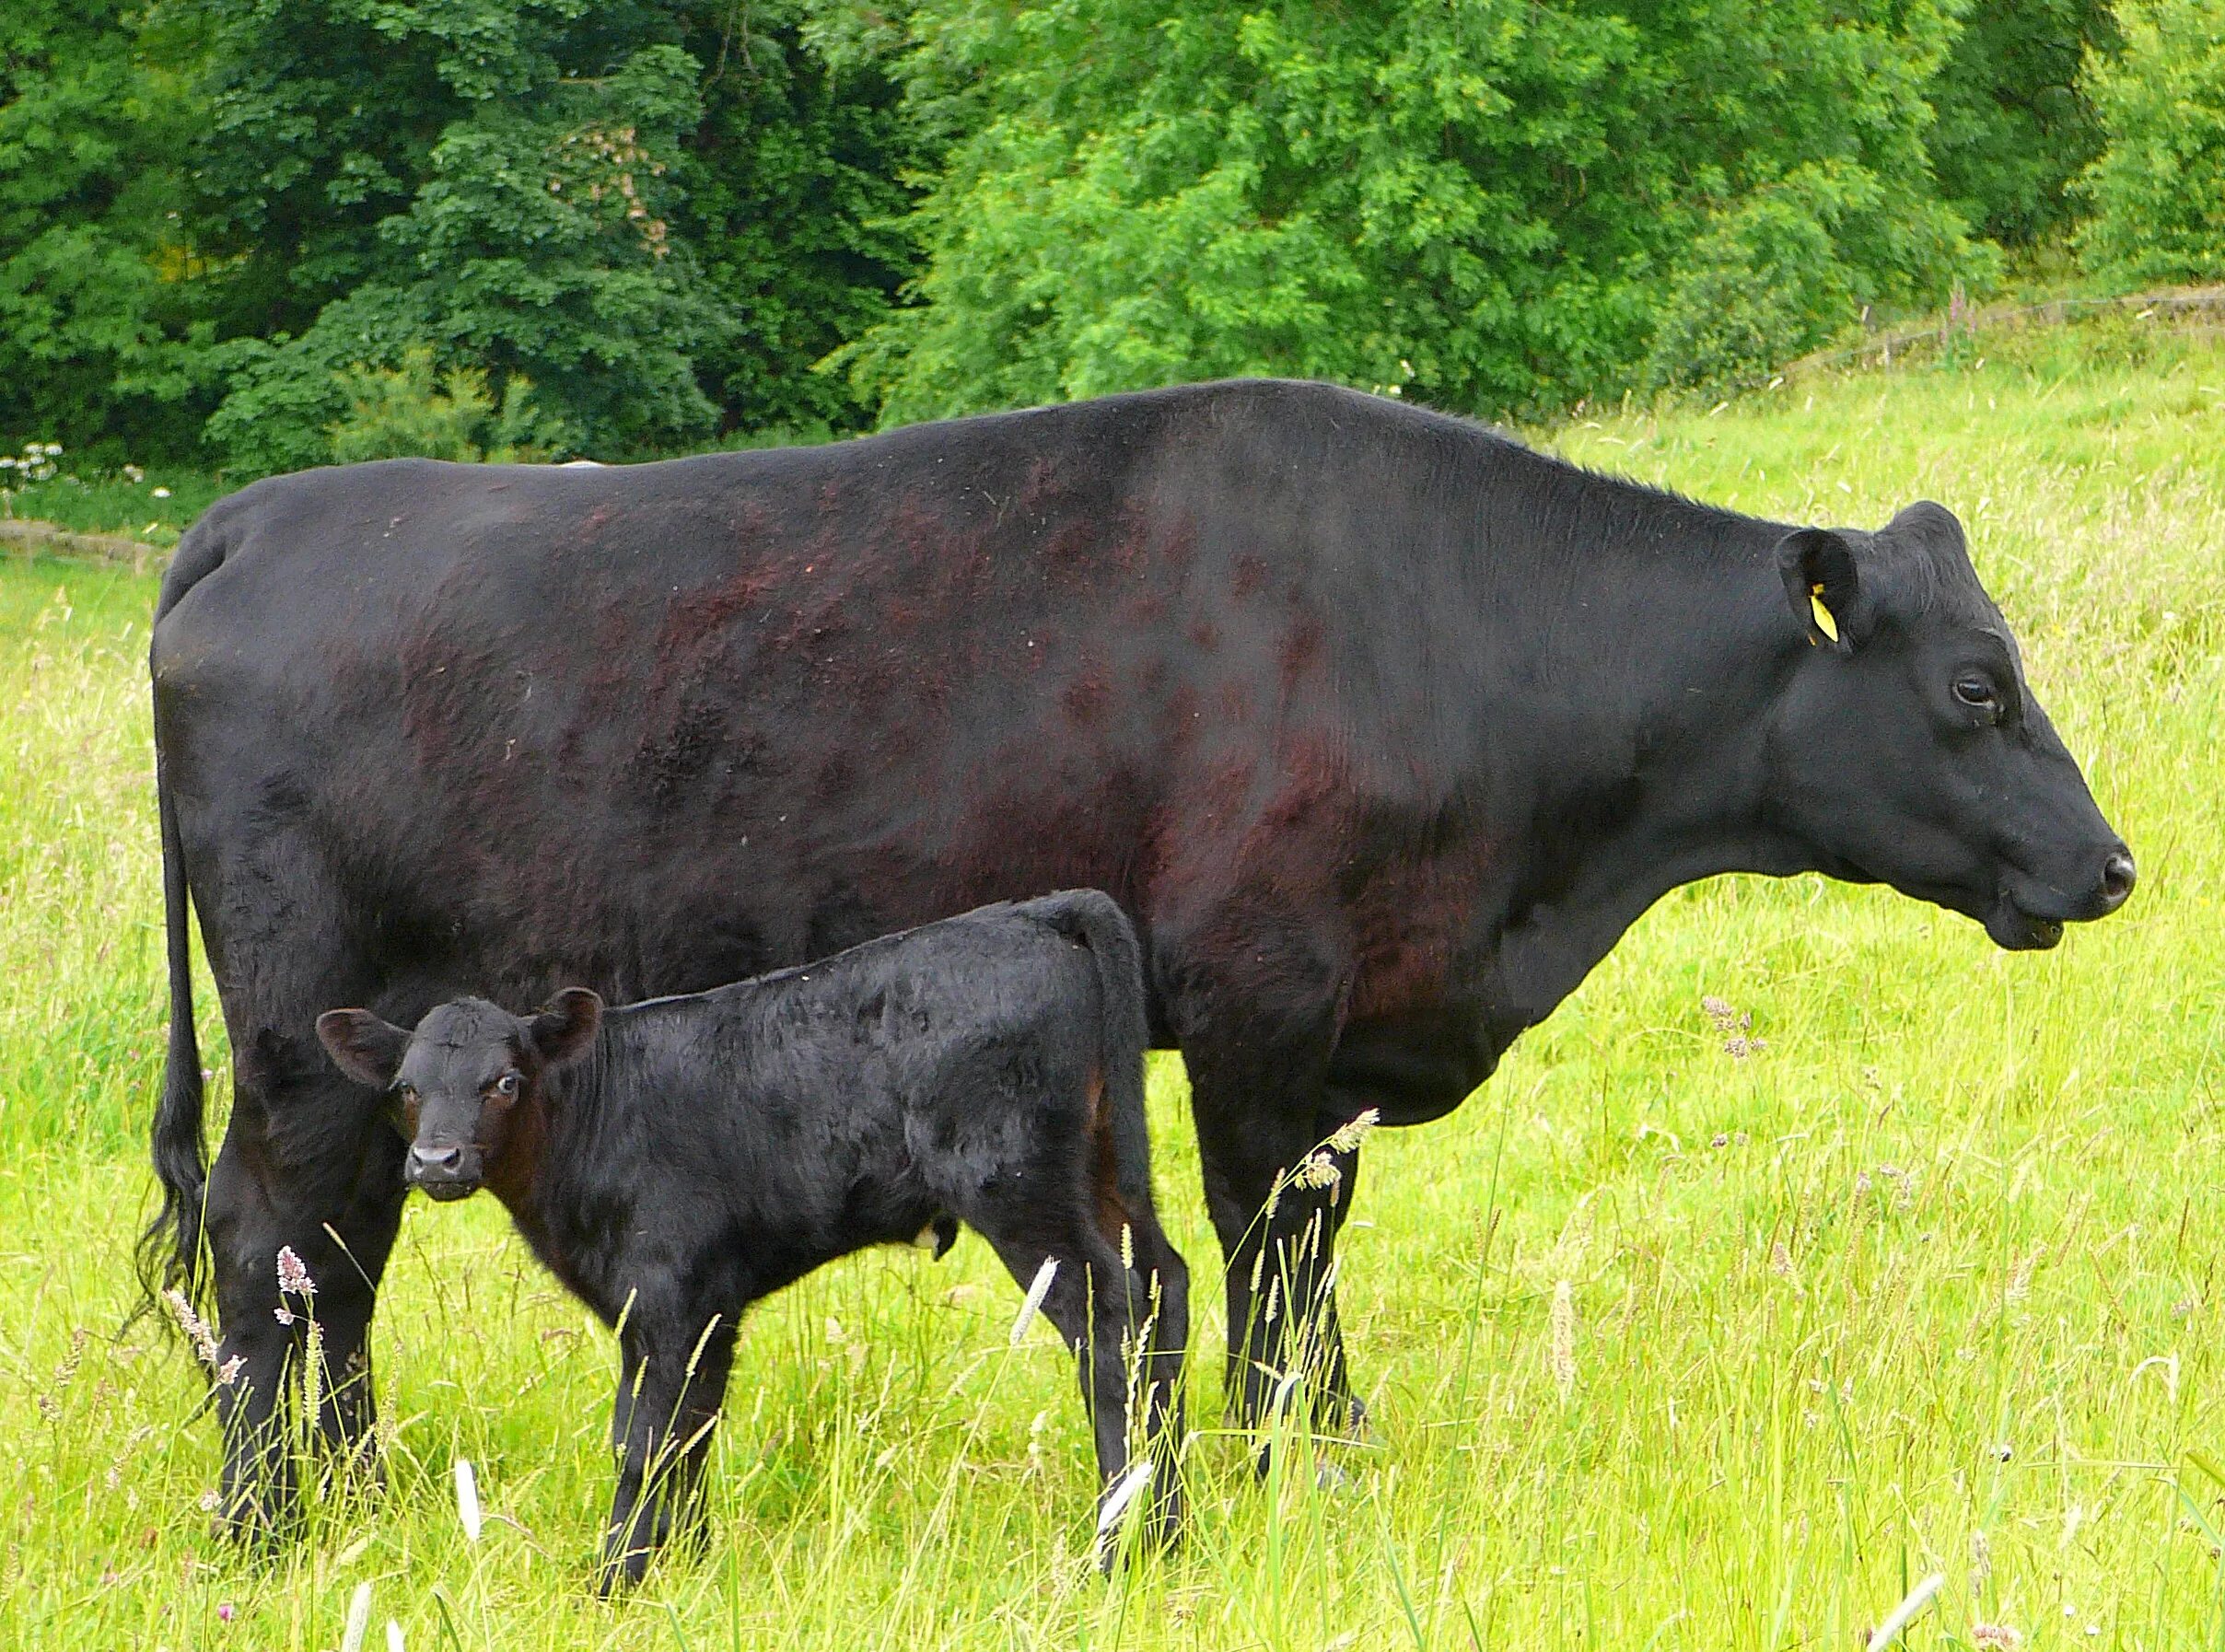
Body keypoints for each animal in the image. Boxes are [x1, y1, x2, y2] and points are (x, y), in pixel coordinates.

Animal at [316, 893, 1201, 1591]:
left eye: (504, 1082)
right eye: (406, 1088)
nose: (436, 1160)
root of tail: (1035, 912)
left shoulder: (668, 1298)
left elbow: (642, 1441)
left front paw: (615, 1582)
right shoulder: (696, 1308)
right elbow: (690, 1433)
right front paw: (686, 1566)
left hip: (1020, 1191)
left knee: (1111, 1324)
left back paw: (1116, 1549)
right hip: (1101, 1172)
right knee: (1165, 1288)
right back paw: (1170, 1534)